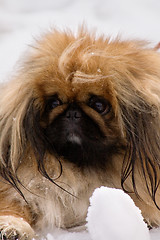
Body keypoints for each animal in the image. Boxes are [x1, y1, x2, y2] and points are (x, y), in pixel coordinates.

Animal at [0, 27, 160, 239]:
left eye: (99, 105)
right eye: (54, 103)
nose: (72, 113)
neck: (85, 170)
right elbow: (14, 206)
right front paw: (12, 227)